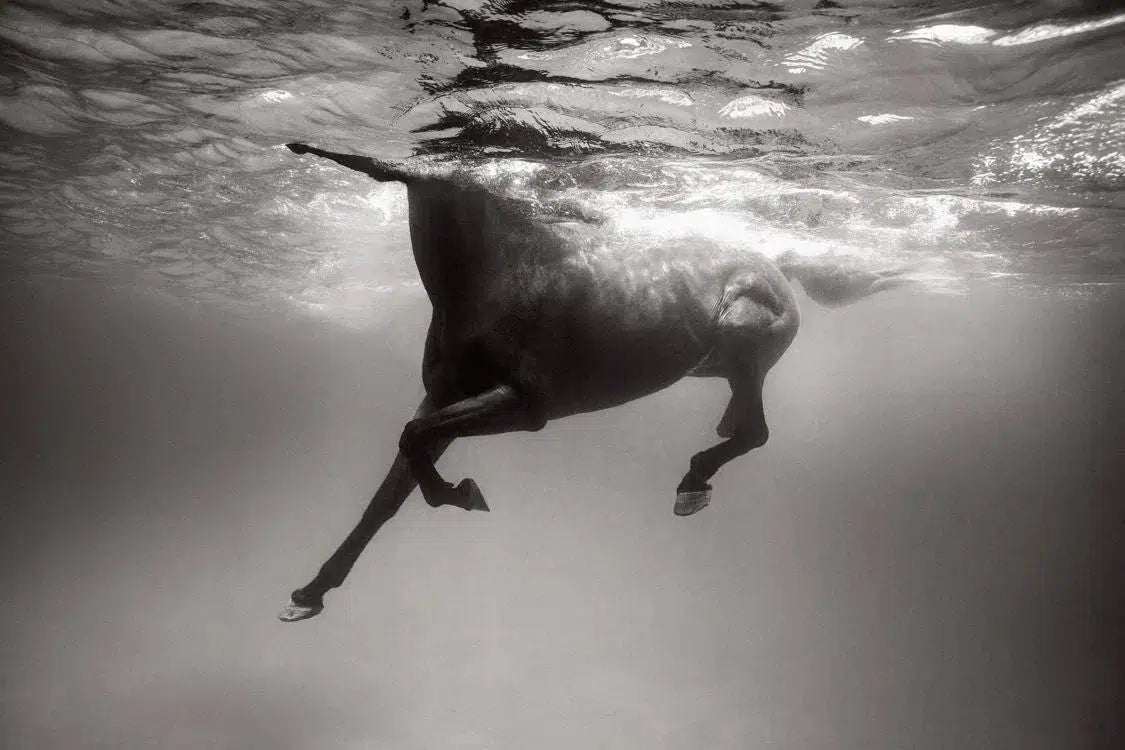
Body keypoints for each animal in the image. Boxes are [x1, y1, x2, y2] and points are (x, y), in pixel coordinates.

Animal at [279, 142, 910, 622]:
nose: (304, 148)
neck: (490, 275)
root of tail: (780, 266)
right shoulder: (443, 397)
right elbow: (387, 494)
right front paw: (310, 594)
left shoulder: (526, 405)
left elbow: (412, 442)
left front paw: (460, 494)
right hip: (713, 360)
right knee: (742, 417)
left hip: (742, 333)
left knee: (755, 430)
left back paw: (692, 484)